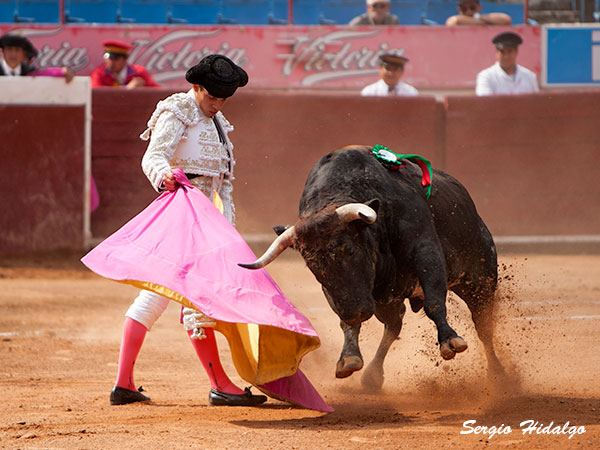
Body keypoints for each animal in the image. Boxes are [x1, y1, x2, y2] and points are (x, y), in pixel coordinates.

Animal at [240, 146, 506, 388]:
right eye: (313, 266)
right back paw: (373, 375)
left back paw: (499, 376)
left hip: (480, 280)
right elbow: (347, 324)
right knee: (393, 326)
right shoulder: (345, 295)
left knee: (483, 326)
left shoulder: (426, 251)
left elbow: (434, 302)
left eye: (350, 250)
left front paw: (450, 341)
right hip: (386, 300)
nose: (356, 311)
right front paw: (348, 358)